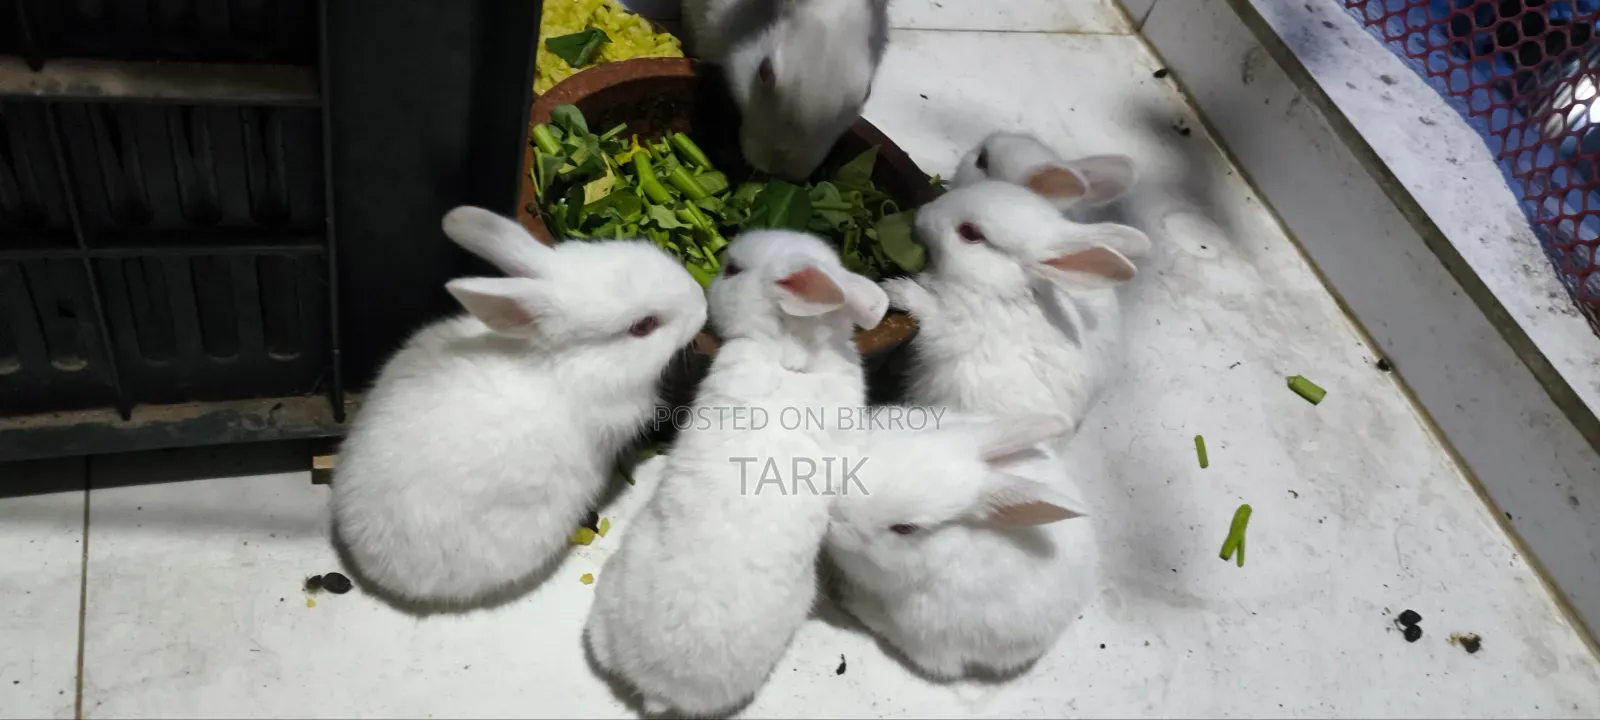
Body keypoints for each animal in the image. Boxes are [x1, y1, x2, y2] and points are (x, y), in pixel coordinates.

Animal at [881, 181, 1153, 437]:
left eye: (970, 233)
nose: (921, 214)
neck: (1001, 288)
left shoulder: (958, 327)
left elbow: (931, 318)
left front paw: (895, 290)